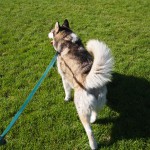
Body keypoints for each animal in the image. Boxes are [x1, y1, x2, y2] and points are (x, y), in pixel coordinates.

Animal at [48, 19, 113, 149]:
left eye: (52, 31)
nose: (47, 33)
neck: (67, 39)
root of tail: (88, 81)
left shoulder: (64, 78)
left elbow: (66, 90)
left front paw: (66, 98)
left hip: (80, 110)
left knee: (89, 131)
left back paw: (93, 145)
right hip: (99, 102)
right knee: (95, 113)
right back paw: (93, 120)